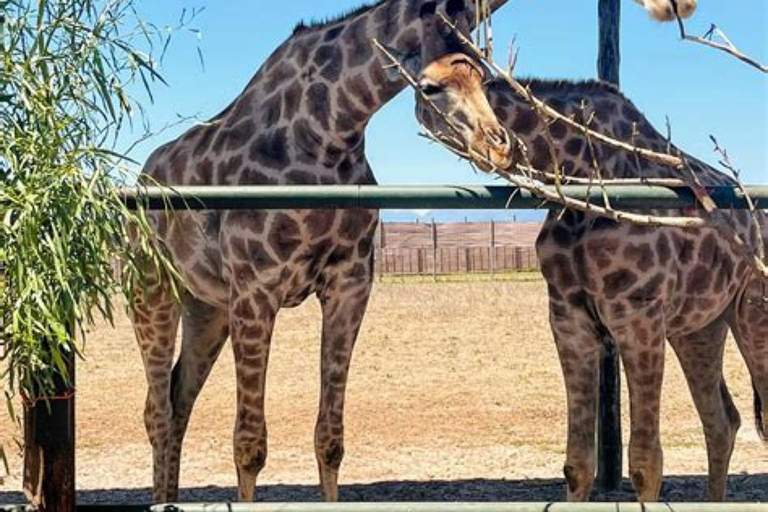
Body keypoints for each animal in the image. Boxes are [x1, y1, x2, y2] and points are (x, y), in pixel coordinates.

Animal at [133, 0, 512, 504]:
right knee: (156, 411)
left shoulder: (349, 285)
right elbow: (249, 445)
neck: (329, 134)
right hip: (152, 290)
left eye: (484, 78)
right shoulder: (255, 290)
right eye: (431, 86)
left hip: (207, 307)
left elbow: (330, 439)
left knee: (178, 402)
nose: (499, 147)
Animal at [414, 54, 768, 502]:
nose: (498, 144)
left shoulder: (639, 316)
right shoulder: (569, 319)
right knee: (722, 421)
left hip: (753, 310)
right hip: (701, 326)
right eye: (430, 88)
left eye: (485, 83)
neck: (584, 174)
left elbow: (646, 463)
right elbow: (577, 463)